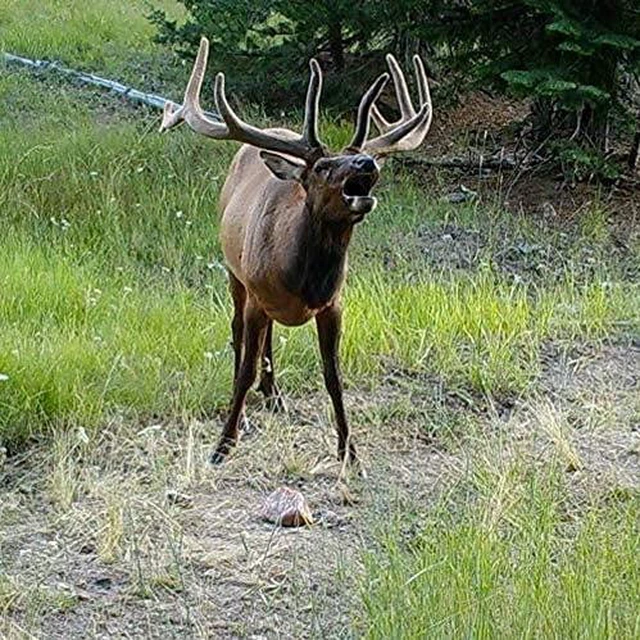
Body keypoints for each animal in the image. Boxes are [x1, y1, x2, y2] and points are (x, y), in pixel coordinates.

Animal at [161, 37, 433, 468]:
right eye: (322, 166)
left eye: (358, 158)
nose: (367, 162)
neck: (301, 280)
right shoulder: (256, 294)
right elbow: (244, 369)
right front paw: (222, 445)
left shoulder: (334, 303)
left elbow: (333, 376)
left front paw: (349, 451)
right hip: (234, 274)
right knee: (237, 332)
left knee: (268, 338)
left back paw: (274, 393)